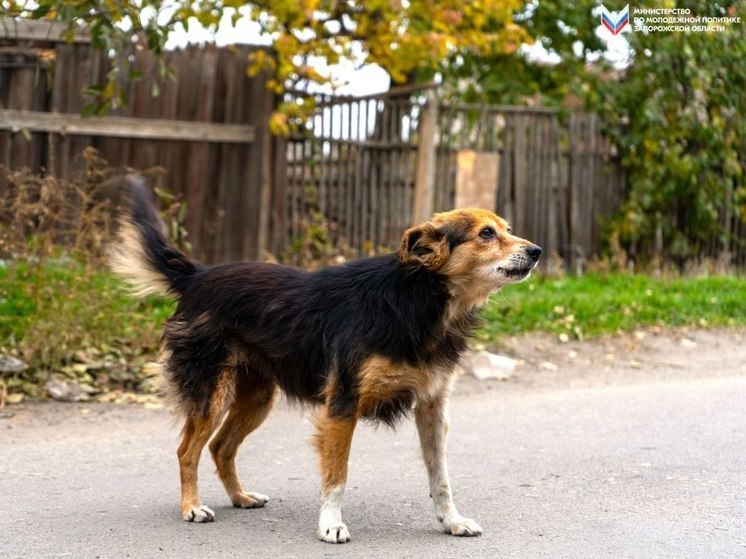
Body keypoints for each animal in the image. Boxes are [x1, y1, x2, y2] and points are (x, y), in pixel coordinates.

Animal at [109, 178, 540, 544]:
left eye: (505, 228)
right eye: (486, 234)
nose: (536, 252)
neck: (418, 299)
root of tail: (197, 276)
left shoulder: (432, 407)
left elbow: (441, 478)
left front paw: (452, 521)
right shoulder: (343, 405)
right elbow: (337, 475)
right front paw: (330, 525)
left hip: (257, 397)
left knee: (220, 447)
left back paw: (241, 497)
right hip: (210, 391)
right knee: (188, 450)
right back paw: (192, 507)